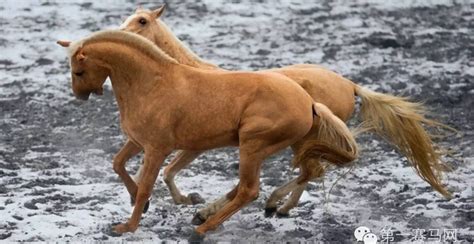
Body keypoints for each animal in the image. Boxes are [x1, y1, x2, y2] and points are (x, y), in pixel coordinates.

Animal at [56, 30, 360, 234]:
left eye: (78, 71)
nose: (80, 95)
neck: (151, 84)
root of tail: (309, 102)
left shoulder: (156, 148)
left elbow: (146, 185)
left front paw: (127, 227)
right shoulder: (138, 141)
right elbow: (118, 164)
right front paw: (140, 204)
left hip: (252, 146)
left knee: (250, 190)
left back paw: (204, 229)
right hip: (273, 147)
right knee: (287, 178)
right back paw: (216, 215)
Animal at [117, 5, 452, 219]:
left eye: (142, 21)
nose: (118, 33)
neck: (190, 76)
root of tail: (350, 84)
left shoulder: (194, 145)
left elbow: (167, 171)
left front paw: (182, 200)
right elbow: (158, 171)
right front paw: (148, 200)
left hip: (300, 141)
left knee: (310, 172)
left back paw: (268, 205)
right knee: (309, 173)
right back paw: (275, 207)